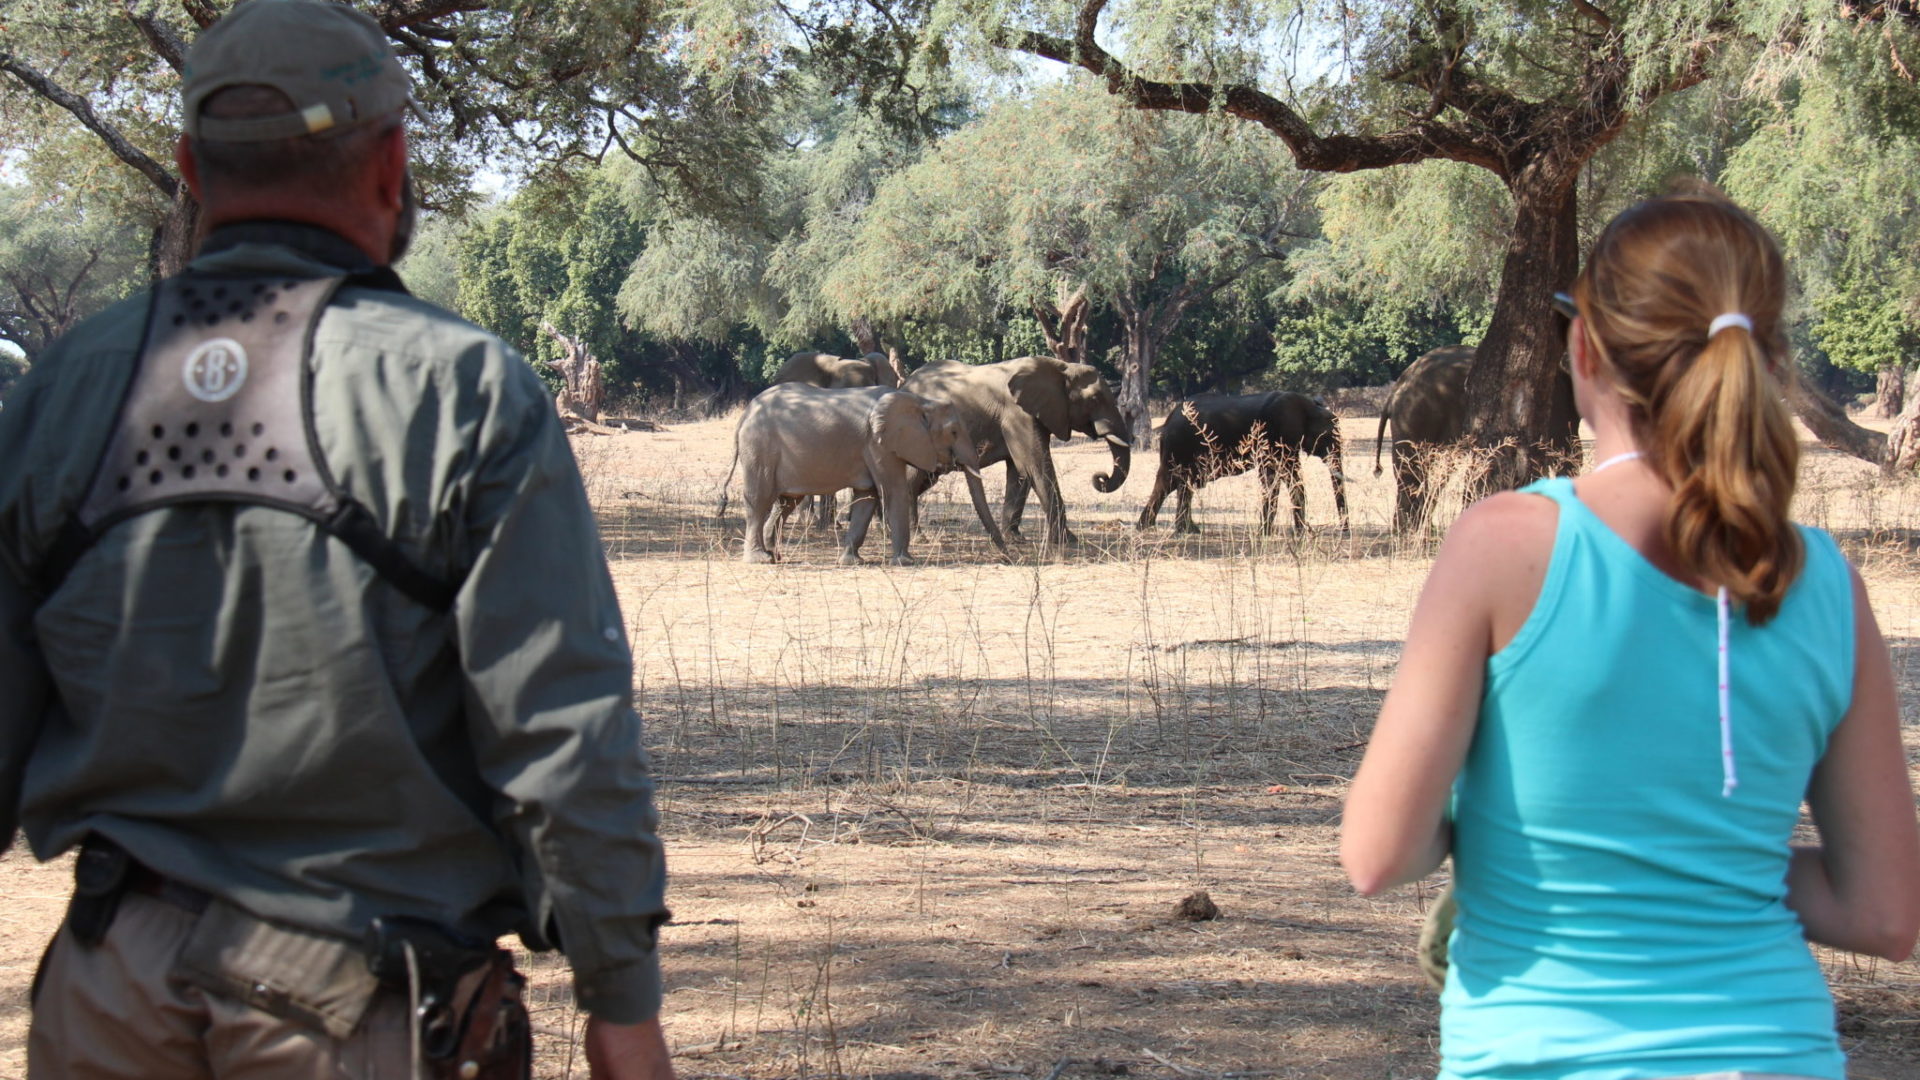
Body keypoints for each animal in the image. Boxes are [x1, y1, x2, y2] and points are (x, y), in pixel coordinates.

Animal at [719, 384, 1010, 565]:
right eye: (953, 432)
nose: (1009, 557)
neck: (919, 401)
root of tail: (745, 415)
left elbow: (866, 498)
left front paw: (852, 562)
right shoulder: (878, 442)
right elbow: (892, 491)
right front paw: (906, 562)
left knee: (785, 503)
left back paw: (775, 555)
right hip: (759, 448)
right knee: (759, 500)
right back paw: (760, 559)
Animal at [902, 355, 1132, 552]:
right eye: (1094, 399)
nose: (1101, 477)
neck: (1061, 367)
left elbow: (1020, 472)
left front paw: (1016, 539)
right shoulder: (1016, 413)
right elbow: (1036, 465)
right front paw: (1068, 541)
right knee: (913, 479)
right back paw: (918, 537)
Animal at [1136, 391, 1350, 536]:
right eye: (1328, 438)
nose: (1344, 531)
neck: (1308, 406)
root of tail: (1168, 419)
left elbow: (1281, 477)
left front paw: (1292, 531)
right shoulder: (1276, 435)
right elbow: (1280, 477)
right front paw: (1281, 532)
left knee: (1182, 485)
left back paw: (1183, 529)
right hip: (1178, 445)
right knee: (1169, 482)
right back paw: (1155, 528)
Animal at [1374, 345, 1578, 532]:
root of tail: (1397, 387)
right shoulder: (1554, 398)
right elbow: (1560, 454)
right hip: (1416, 414)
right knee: (1412, 469)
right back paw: (1410, 530)